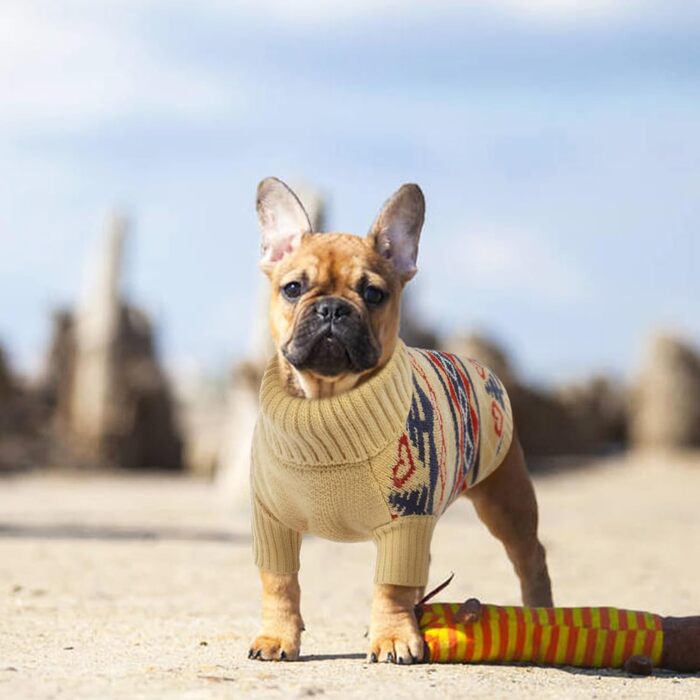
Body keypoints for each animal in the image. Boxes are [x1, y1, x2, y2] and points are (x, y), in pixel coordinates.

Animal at [246, 178, 552, 664]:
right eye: (293, 288)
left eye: (373, 294)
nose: (332, 308)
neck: (328, 403)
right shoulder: (273, 521)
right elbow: (279, 582)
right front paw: (278, 636)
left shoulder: (406, 521)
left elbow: (390, 586)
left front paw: (391, 636)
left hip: (506, 499)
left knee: (530, 556)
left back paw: (540, 612)